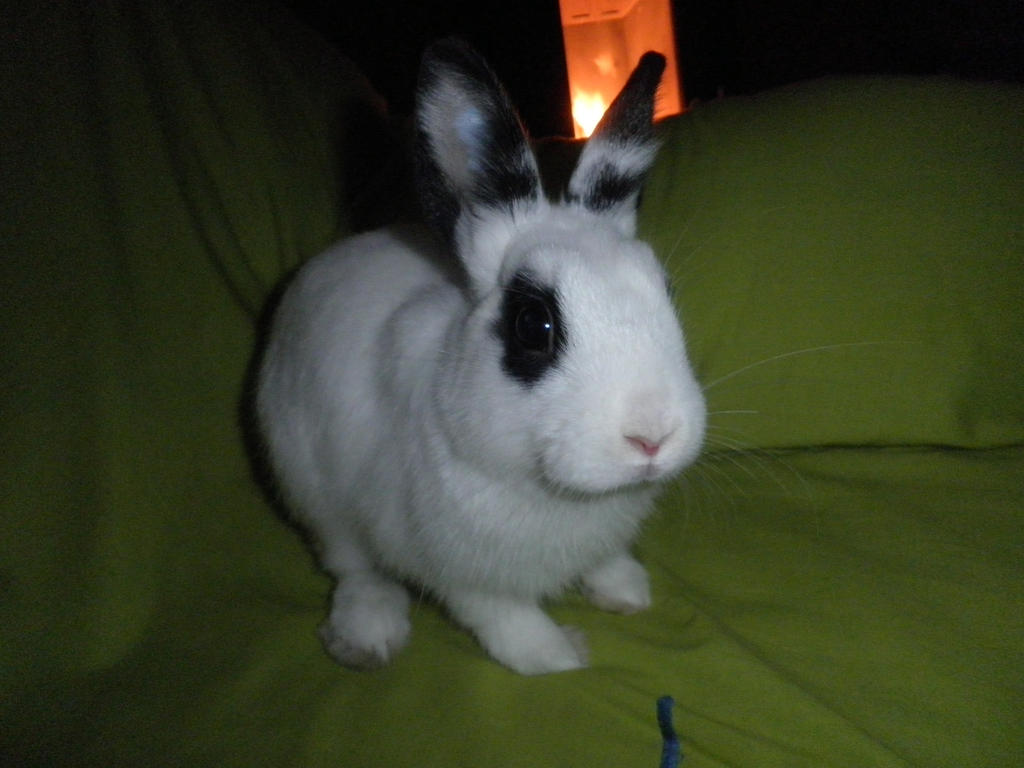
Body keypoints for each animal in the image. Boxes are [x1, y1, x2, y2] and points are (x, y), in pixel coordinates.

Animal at [255, 39, 706, 675]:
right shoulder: (457, 570)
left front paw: (626, 590)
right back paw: (367, 635)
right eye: (533, 326)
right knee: (352, 566)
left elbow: (605, 561)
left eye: (665, 292)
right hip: (312, 489)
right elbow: (505, 617)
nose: (652, 437)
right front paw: (559, 657)